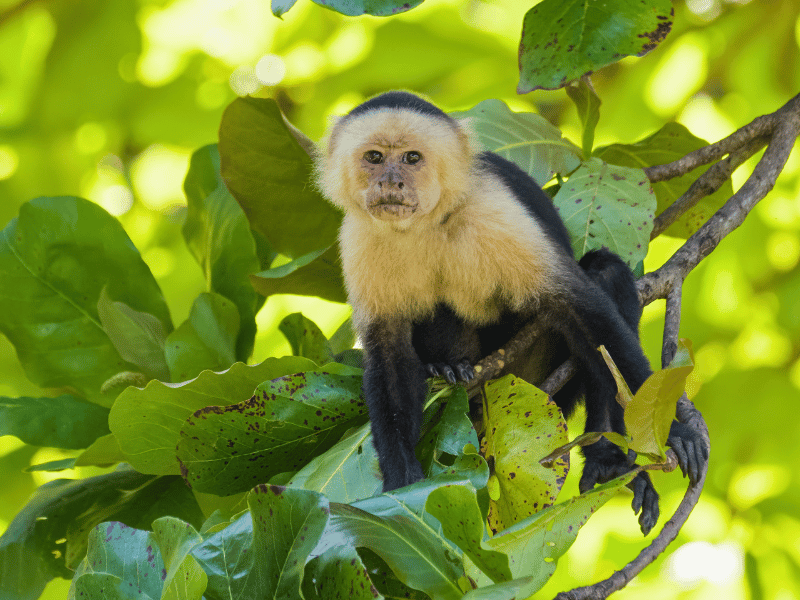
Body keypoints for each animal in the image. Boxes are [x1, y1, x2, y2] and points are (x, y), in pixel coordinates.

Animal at [314, 91, 707, 535]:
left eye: (412, 158)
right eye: (375, 157)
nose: (390, 182)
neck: (426, 223)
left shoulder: (492, 209)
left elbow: (577, 306)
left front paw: (672, 430)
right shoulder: (358, 237)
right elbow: (389, 353)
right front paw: (401, 483)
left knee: (604, 279)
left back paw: (607, 453)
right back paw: (449, 368)